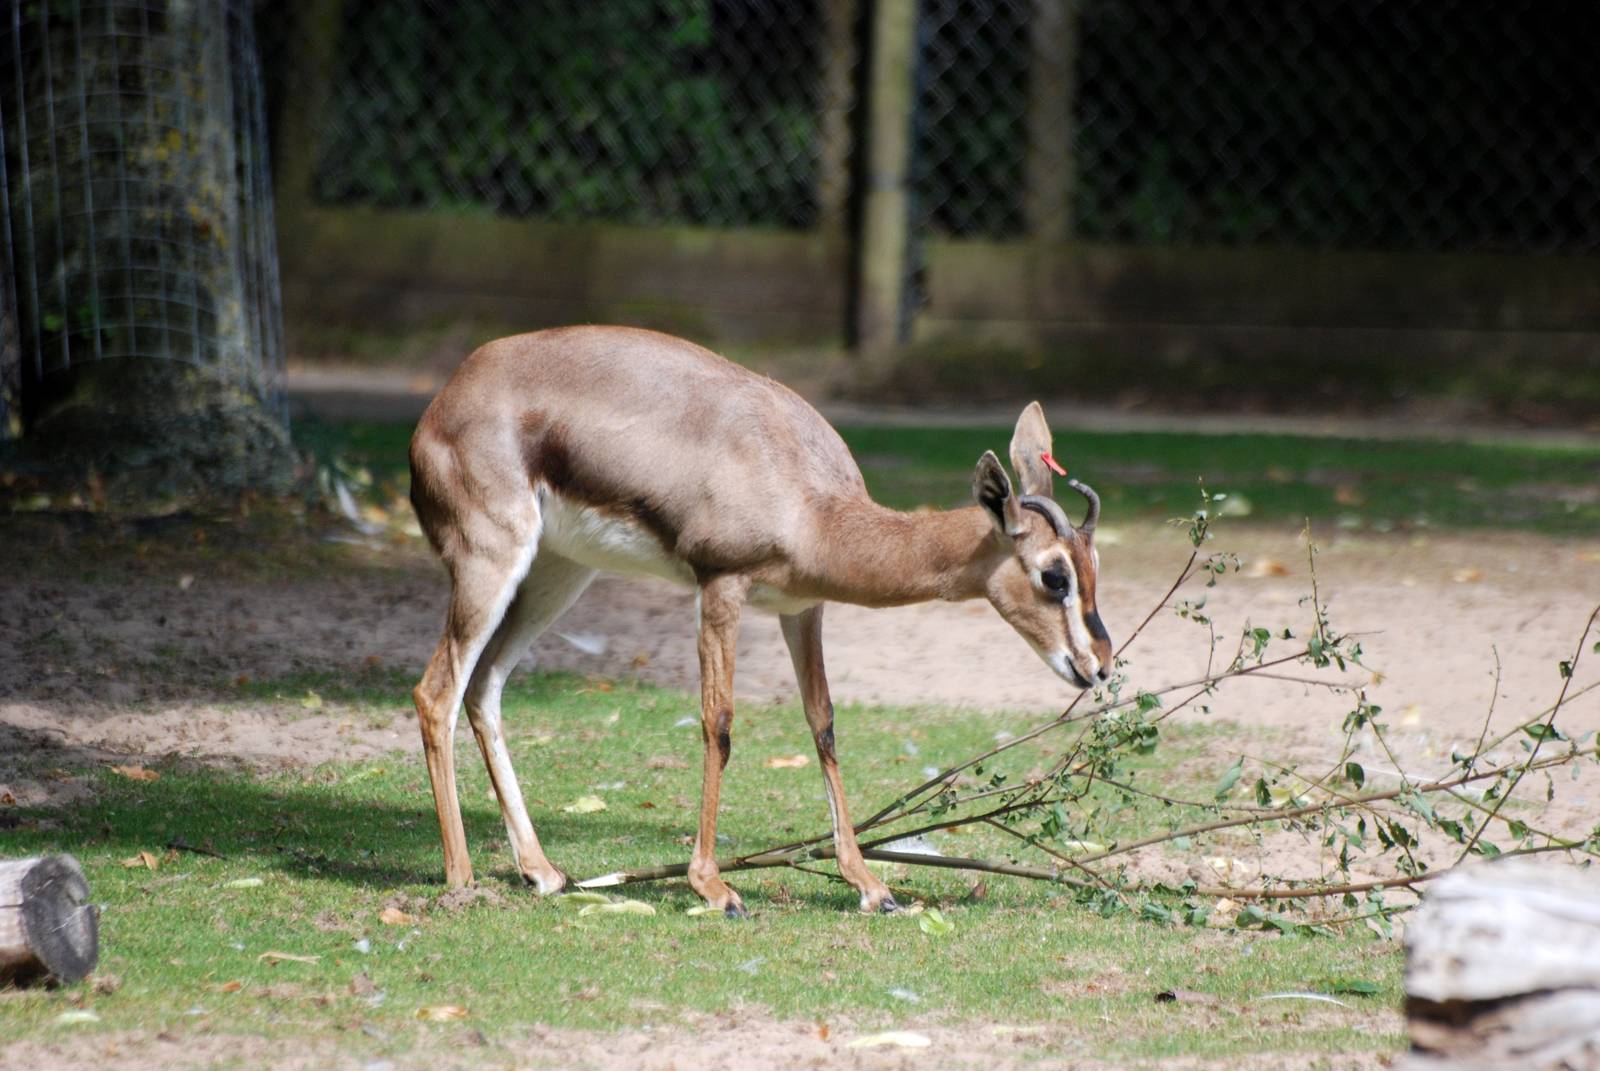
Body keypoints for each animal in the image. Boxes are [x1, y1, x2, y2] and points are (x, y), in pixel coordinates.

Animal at [409, 326, 1112, 915]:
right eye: (1054, 574)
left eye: (1093, 563)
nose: (1100, 666)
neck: (809, 503)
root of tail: (444, 401)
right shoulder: (721, 586)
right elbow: (717, 723)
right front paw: (714, 888)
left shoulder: (803, 609)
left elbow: (823, 724)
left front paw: (869, 884)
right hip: (490, 563)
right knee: (436, 691)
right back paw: (462, 880)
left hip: (560, 572)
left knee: (485, 685)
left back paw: (543, 872)